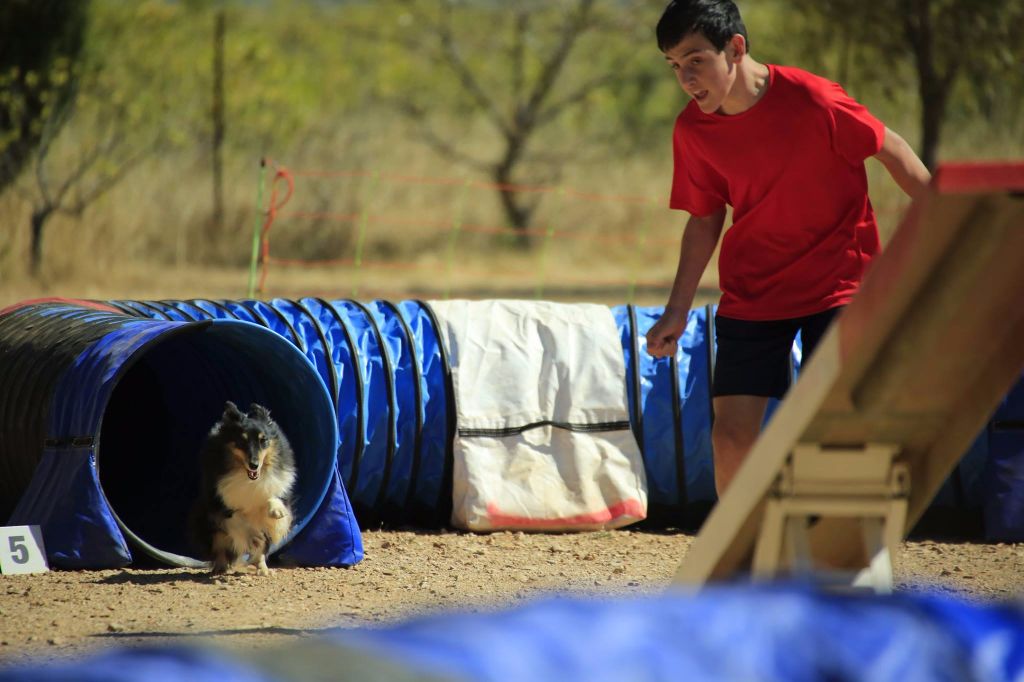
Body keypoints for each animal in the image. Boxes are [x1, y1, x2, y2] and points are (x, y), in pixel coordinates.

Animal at [191, 401, 296, 569]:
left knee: (261, 550)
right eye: (242, 441)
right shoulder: (217, 500)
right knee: (220, 547)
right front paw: (252, 535)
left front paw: (277, 511)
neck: (246, 477)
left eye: (263, 440)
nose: (254, 465)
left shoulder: (273, 488)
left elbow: (271, 496)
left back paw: (263, 569)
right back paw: (222, 568)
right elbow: (235, 518)